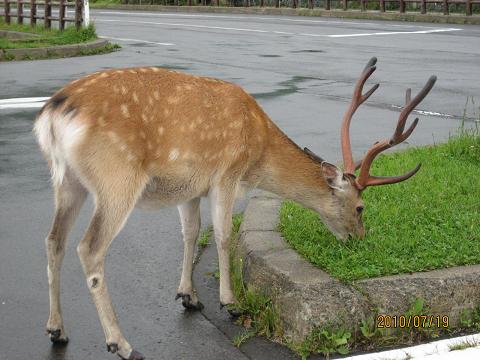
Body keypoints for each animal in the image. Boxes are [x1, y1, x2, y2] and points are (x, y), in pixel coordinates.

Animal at [34, 57, 436, 358]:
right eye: (361, 207)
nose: (359, 239)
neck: (258, 153)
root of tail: (52, 115)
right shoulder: (226, 174)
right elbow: (225, 236)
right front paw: (230, 302)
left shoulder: (190, 187)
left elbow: (191, 233)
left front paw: (189, 296)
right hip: (117, 179)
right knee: (89, 247)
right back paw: (122, 344)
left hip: (66, 180)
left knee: (53, 240)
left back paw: (56, 329)